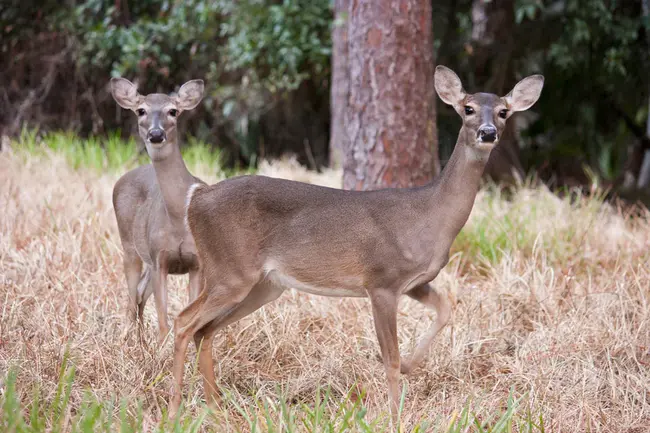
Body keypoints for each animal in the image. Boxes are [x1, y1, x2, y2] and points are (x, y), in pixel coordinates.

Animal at [109, 76, 205, 342]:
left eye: (173, 111)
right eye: (141, 110)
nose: (155, 133)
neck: (178, 219)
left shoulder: (196, 263)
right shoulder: (159, 258)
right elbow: (163, 322)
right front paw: (161, 350)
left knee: (140, 293)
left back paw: (140, 340)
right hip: (130, 245)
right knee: (132, 297)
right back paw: (129, 340)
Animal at [168, 66, 540, 420]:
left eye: (504, 111)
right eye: (468, 108)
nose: (488, 132)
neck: (429, 215)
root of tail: (196, 197)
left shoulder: (414, 282)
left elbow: (446, 308)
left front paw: (412, 365)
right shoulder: (381, 281)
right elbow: (389, 358)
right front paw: (395, 417)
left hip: (263, 284)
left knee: (205, 330)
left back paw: (215, 407)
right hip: (230, 270)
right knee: (184, 321)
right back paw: (175, 408)